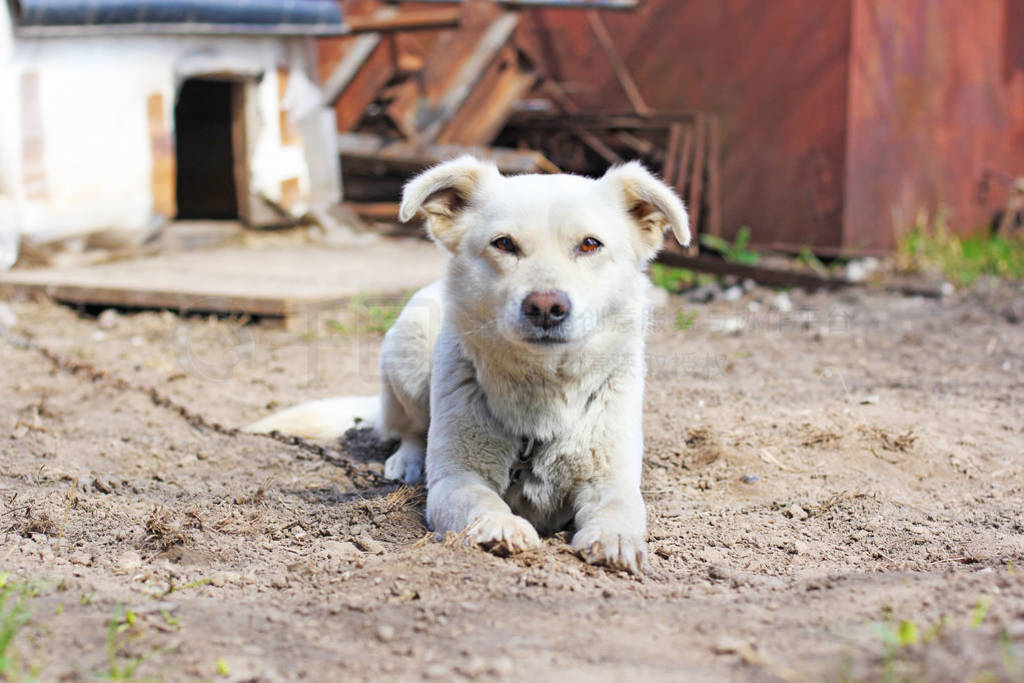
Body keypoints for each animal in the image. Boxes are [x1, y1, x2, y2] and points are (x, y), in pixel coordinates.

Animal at [249, 158, 688, 573]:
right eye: (504, 243)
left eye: (590, 244)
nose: (546, 307)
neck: (542, 389)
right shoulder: (455, 479)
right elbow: (480, 499)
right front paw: (500, 525)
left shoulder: (611, 480)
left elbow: (620, 508)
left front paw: (616, 539)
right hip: (408, 348)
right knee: (411, 428)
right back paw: (407, 461)